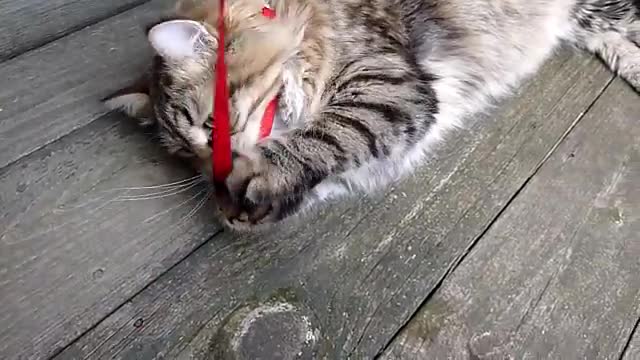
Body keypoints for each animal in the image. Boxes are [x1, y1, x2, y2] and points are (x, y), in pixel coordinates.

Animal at [105, 0, 640, 231]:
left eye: (212, 127)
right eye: (185, 156)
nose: (213, 174)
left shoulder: (389, 82)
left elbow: (328, 134)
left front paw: (253, 179)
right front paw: (239, 207)